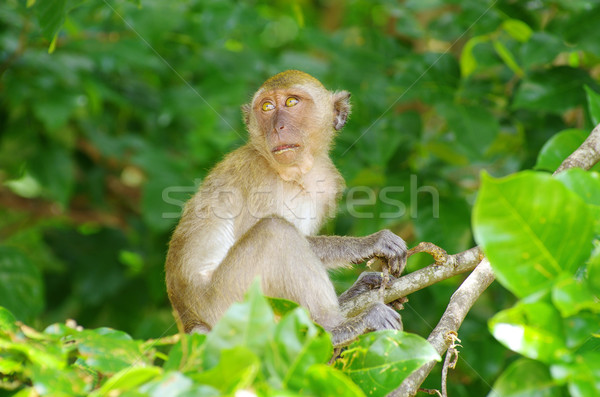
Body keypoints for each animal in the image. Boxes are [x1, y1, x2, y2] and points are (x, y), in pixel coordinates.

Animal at [164, 69, 408, 344]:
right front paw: (370, 243)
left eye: (292, 102)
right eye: (267, 107)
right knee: (276, 231)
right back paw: (336, 329)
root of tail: (190, 322)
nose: (277, 127)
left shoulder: (329, 181)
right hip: (227, 302)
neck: (296, 174)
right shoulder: (257, 176)